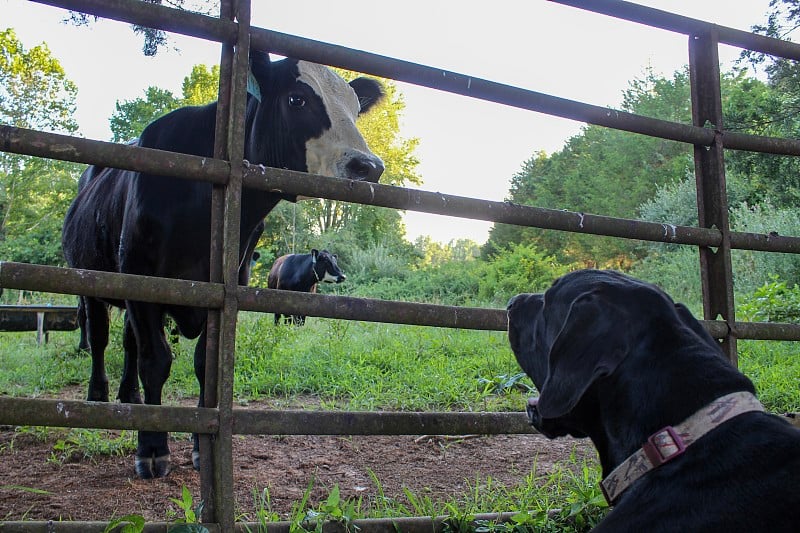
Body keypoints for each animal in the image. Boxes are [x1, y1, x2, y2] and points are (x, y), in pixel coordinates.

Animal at [61, 53, 386, 478]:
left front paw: (202, 447)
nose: (369, 166)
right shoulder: (140, 277)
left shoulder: (224, 287)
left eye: (354, 107)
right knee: (99, 337)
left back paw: (129, 396)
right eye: (297, 99)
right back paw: (98, 395)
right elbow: (156, 361)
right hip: (92, 280)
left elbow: (205, 366)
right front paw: (152, 449)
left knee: (128, 342)